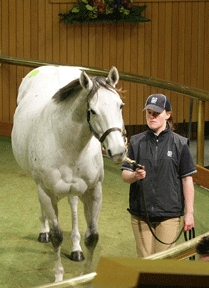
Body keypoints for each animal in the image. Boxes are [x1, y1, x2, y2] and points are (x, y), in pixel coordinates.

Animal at [11, 64, 127, 282]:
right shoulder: (47, 193)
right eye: (93, 111)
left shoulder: (94, 191)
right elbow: (57, 236)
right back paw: (44, 231)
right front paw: (58, 277)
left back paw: (76, 248)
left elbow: (93, 236)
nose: (118, 151)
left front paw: (86, 275)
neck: (66, 142)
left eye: (120, 105)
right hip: (39, 185)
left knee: (73, 205)